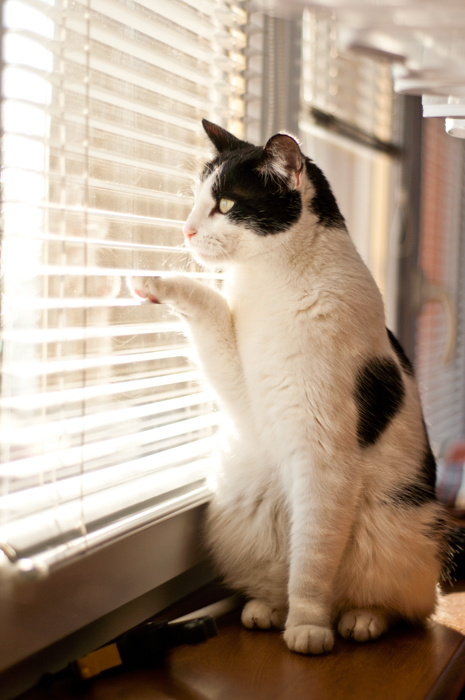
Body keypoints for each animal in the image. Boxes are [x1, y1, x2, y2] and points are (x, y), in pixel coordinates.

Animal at [129, 121, 448, 656]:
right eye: (196, 199)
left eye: (226, 204)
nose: (186, 230)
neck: (270, 283)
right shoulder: (245, 391)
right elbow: (209, 305)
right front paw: (151, 281)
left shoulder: (324, 457)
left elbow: (313, 560)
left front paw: (308, 627)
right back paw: (267, 607)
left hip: (395, 531)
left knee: (398, 604)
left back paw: (358, 620)